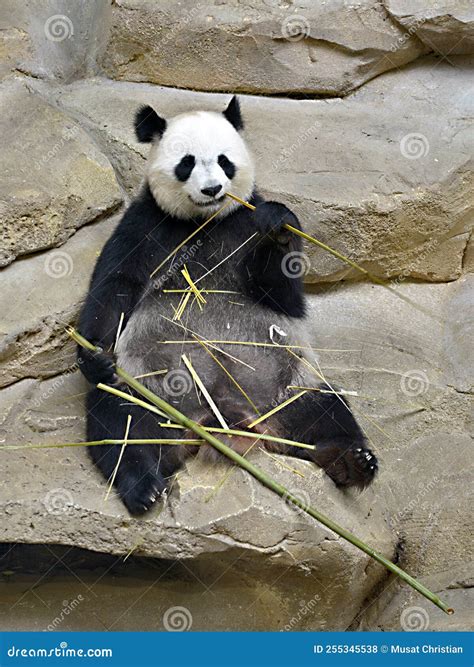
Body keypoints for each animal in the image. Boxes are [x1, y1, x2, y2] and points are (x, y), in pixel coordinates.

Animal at [78, 96, 378, 516]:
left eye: (224, 160)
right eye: (186, 162)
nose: (212, 189)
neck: (204, 222)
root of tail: (224, 422)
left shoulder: (245, 220)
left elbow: (284, 295)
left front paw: (279, 227)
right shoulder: (146, 226)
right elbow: (116, 286)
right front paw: (94, 356)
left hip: (286, 392)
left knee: (327, 411)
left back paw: (354, 462)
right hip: (151, 393)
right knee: (120, 423)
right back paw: (143, 487)